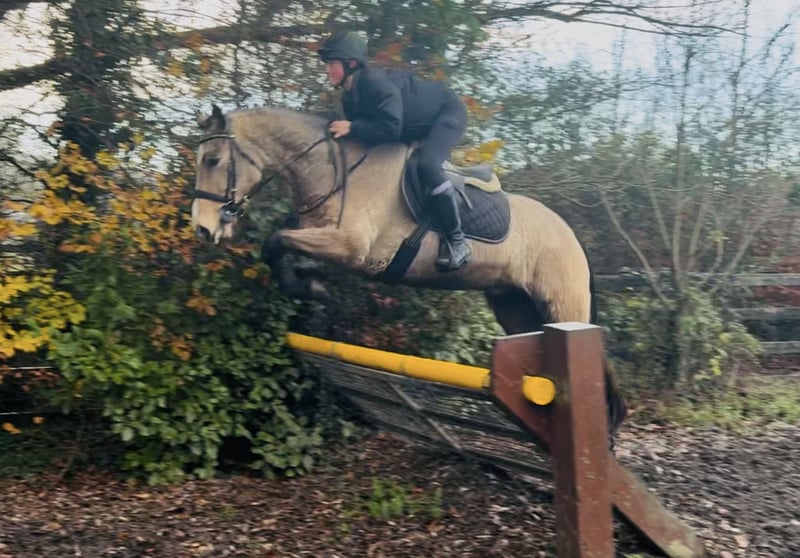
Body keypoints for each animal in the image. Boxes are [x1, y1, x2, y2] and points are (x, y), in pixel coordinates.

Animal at [189, 103, 628, 441]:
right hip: (514, 306)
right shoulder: (325, 238)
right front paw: (312, 287)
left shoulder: (351, 248)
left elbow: (276, 240)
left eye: (213, 161)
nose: (203, 229)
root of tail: (571, 236)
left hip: (562, 306)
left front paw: (310, 288)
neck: (336, 172)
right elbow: (279, 245)